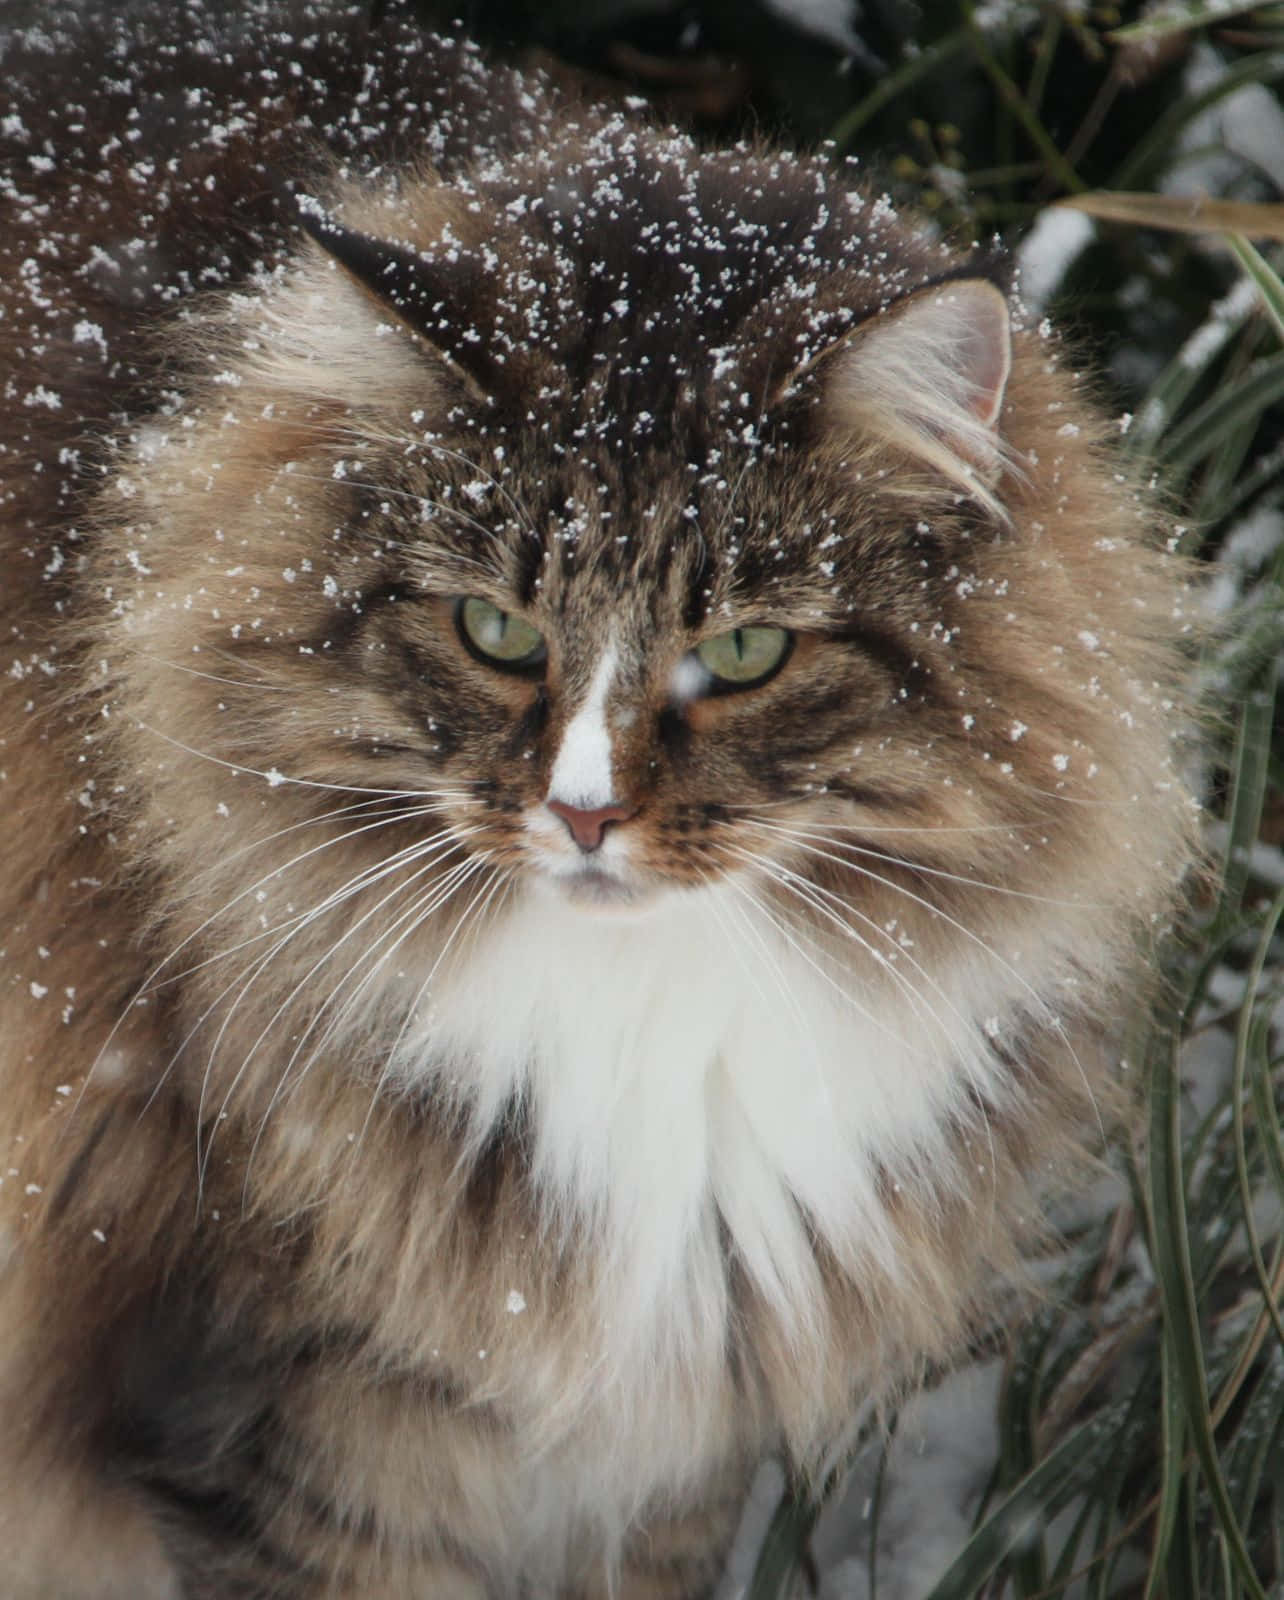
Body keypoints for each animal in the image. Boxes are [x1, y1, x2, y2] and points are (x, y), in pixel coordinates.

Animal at [2, 3, 1203, 1600]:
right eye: (496, 632)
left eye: (744, 654)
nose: (581, 815)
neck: (655, 1025)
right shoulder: (291, 1412)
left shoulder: (671, 1444)